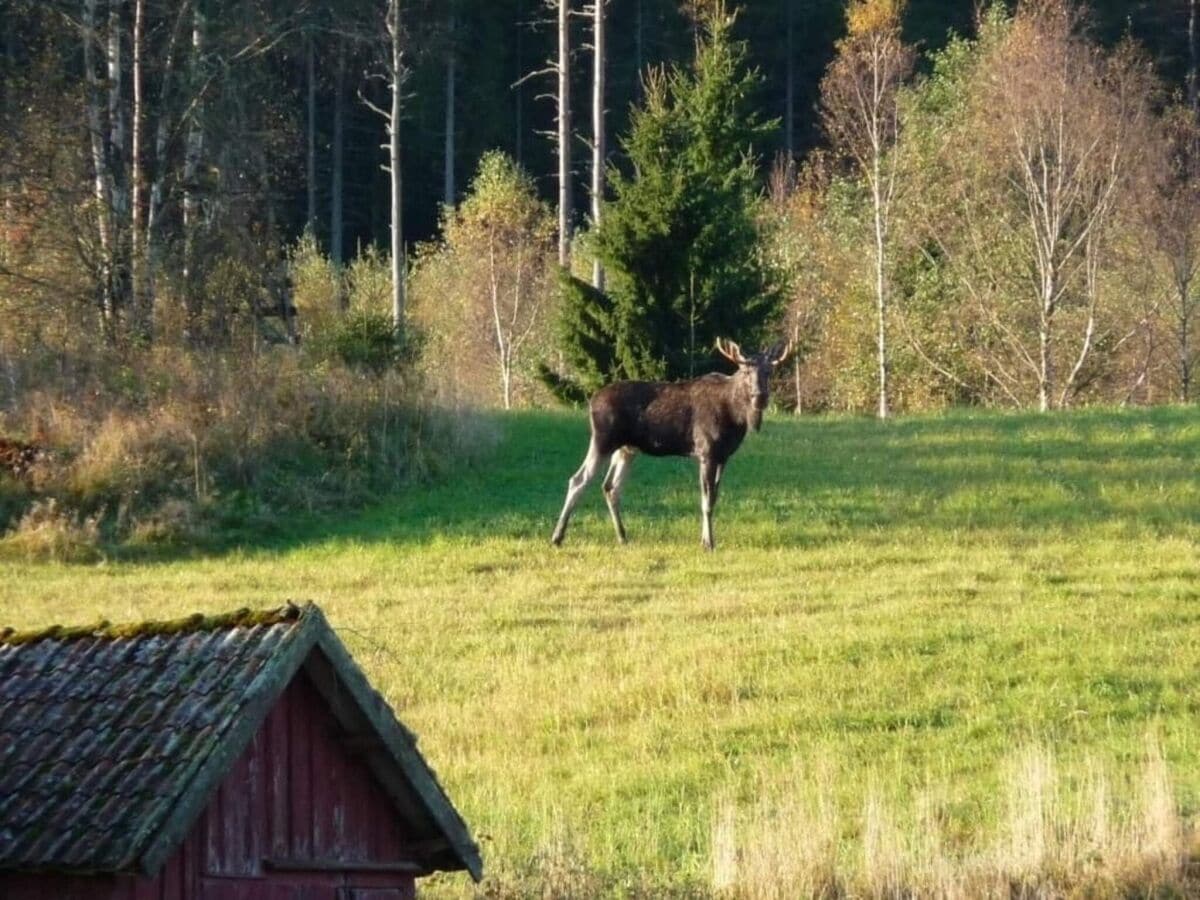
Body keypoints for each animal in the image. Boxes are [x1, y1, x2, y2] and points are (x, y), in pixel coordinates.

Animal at [549, 336, 792, 549]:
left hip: (627, 449)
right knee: (578, 480)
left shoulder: (723, 456)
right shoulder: (706, 451)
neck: (736, 417)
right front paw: (708, 543)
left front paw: (706, 539)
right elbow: (705, 501)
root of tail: (591, 401)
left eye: (769, 371)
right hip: (603, 439)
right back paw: (557, 537)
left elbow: (713, 499)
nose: (760, 396)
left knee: (610, 487)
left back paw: (622, 537)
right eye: (745, 371)